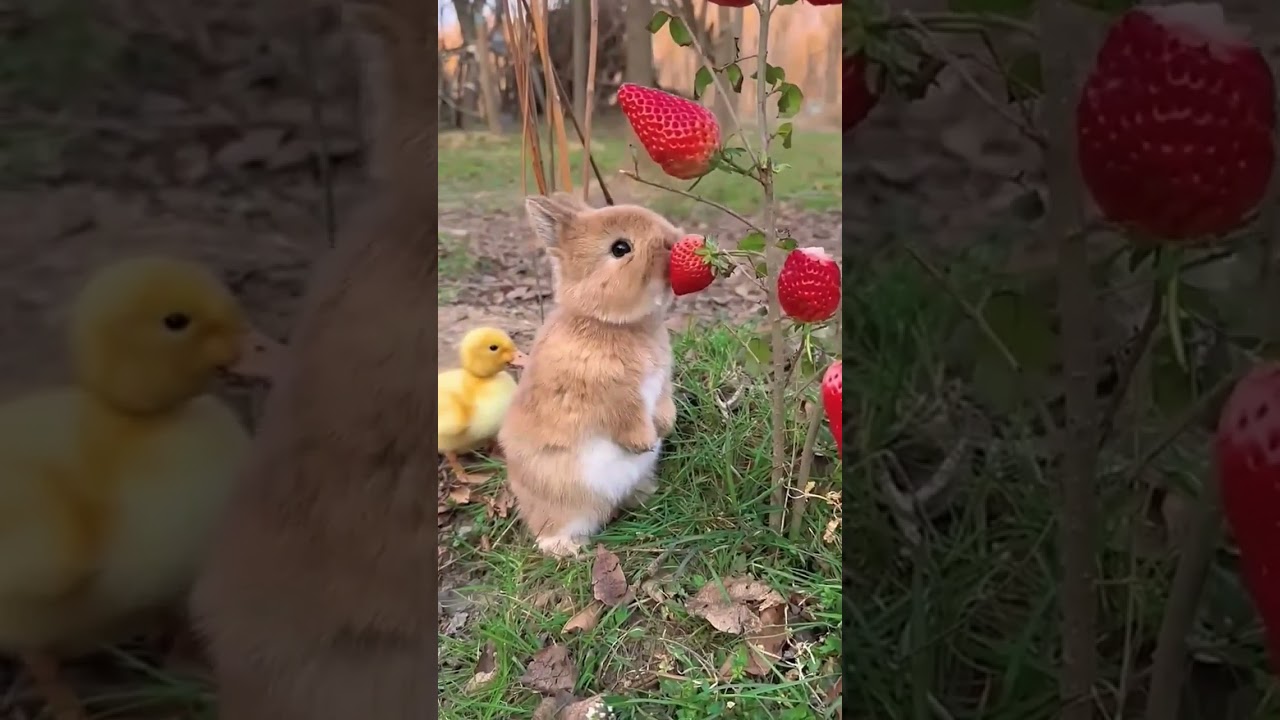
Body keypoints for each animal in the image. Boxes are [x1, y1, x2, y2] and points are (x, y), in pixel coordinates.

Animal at [498, 192, 680, 558]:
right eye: (620, 248)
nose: (674, 240)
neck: (610, 324)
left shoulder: (661, 384)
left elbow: (663, 406)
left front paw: (665, 427)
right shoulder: (613, 397)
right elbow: (627, 419)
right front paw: (645, 442)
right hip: (564, 501)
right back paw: (567, 549)